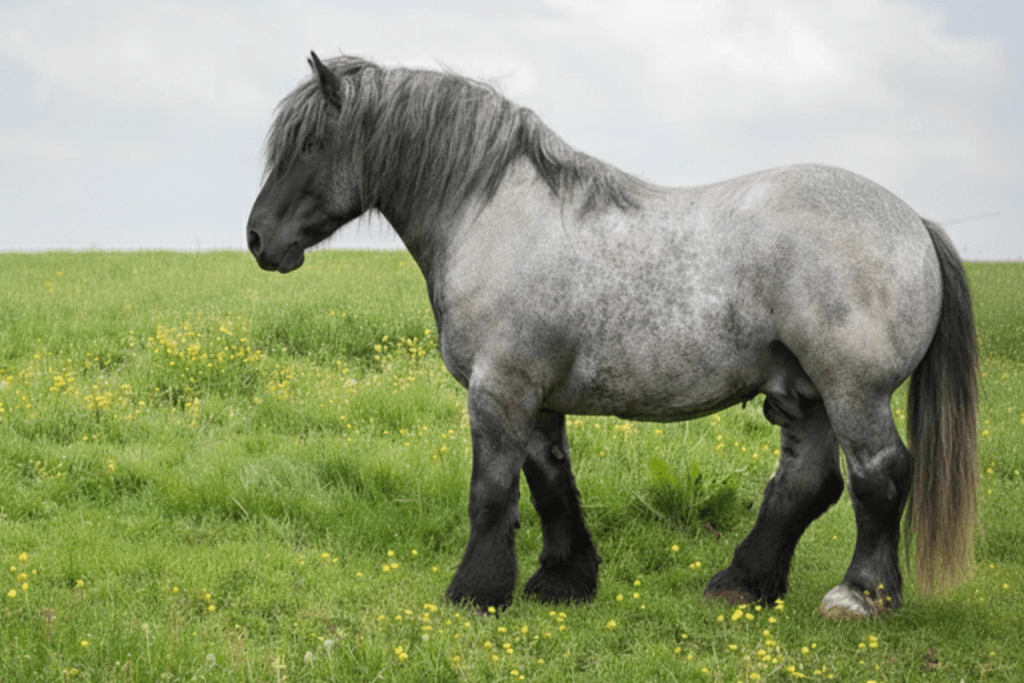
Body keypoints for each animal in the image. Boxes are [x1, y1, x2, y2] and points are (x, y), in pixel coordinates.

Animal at [247, 52, 978, 619]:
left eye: (309, 144)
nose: (258, 239)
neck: (494, 215)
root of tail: (913, 219)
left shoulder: (499, 388)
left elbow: (492, 491)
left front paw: (475, 592)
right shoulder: (535, 397)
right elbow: (549, 483)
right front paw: (562, 580)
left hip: (853, 390)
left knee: (880, 475)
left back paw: (860, 595)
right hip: (805, 392)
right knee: (805, 483)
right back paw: (741, 583)